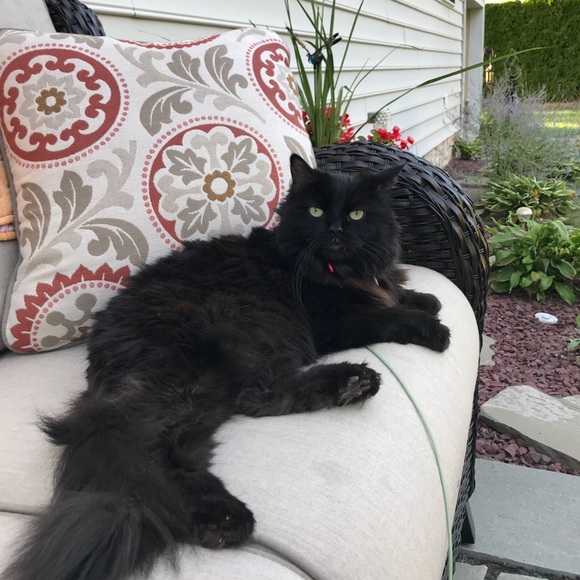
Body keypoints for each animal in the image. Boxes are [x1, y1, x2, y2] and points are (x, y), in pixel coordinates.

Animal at [5, 154, 450, 580]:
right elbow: (388, 316)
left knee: (248, 408)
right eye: (316, 212)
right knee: (163, 441)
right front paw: (433, 327)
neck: (338, 270)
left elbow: (400, 294)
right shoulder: (334, 321)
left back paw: (354, 383)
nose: (337, 230)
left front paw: (426, 298)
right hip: (212, 356)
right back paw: (227, 519)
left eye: (357, 214)